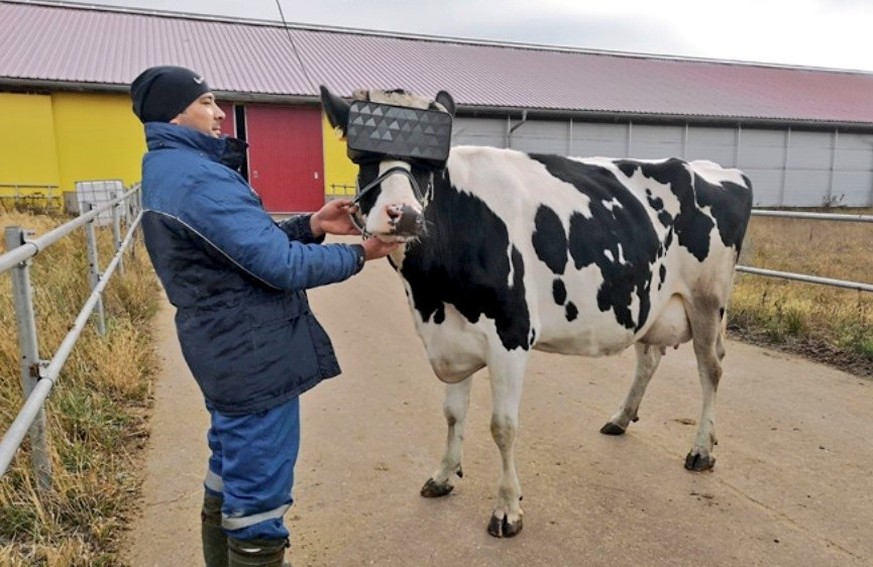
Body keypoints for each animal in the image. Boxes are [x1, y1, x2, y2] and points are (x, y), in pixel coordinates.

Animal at [316, 84, 752, 536]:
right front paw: (443, 475)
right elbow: (453, 414)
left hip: (708, 299)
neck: (431, 294)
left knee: (711, 368)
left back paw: (701, 450)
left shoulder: (510, 334)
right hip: (651, 300)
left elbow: (502, 426)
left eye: (427, 165)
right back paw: (620, 418)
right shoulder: (450, 336)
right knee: (649, 356)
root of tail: (717, 170)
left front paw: (507, 508)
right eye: (361, 157)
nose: (404, 215)